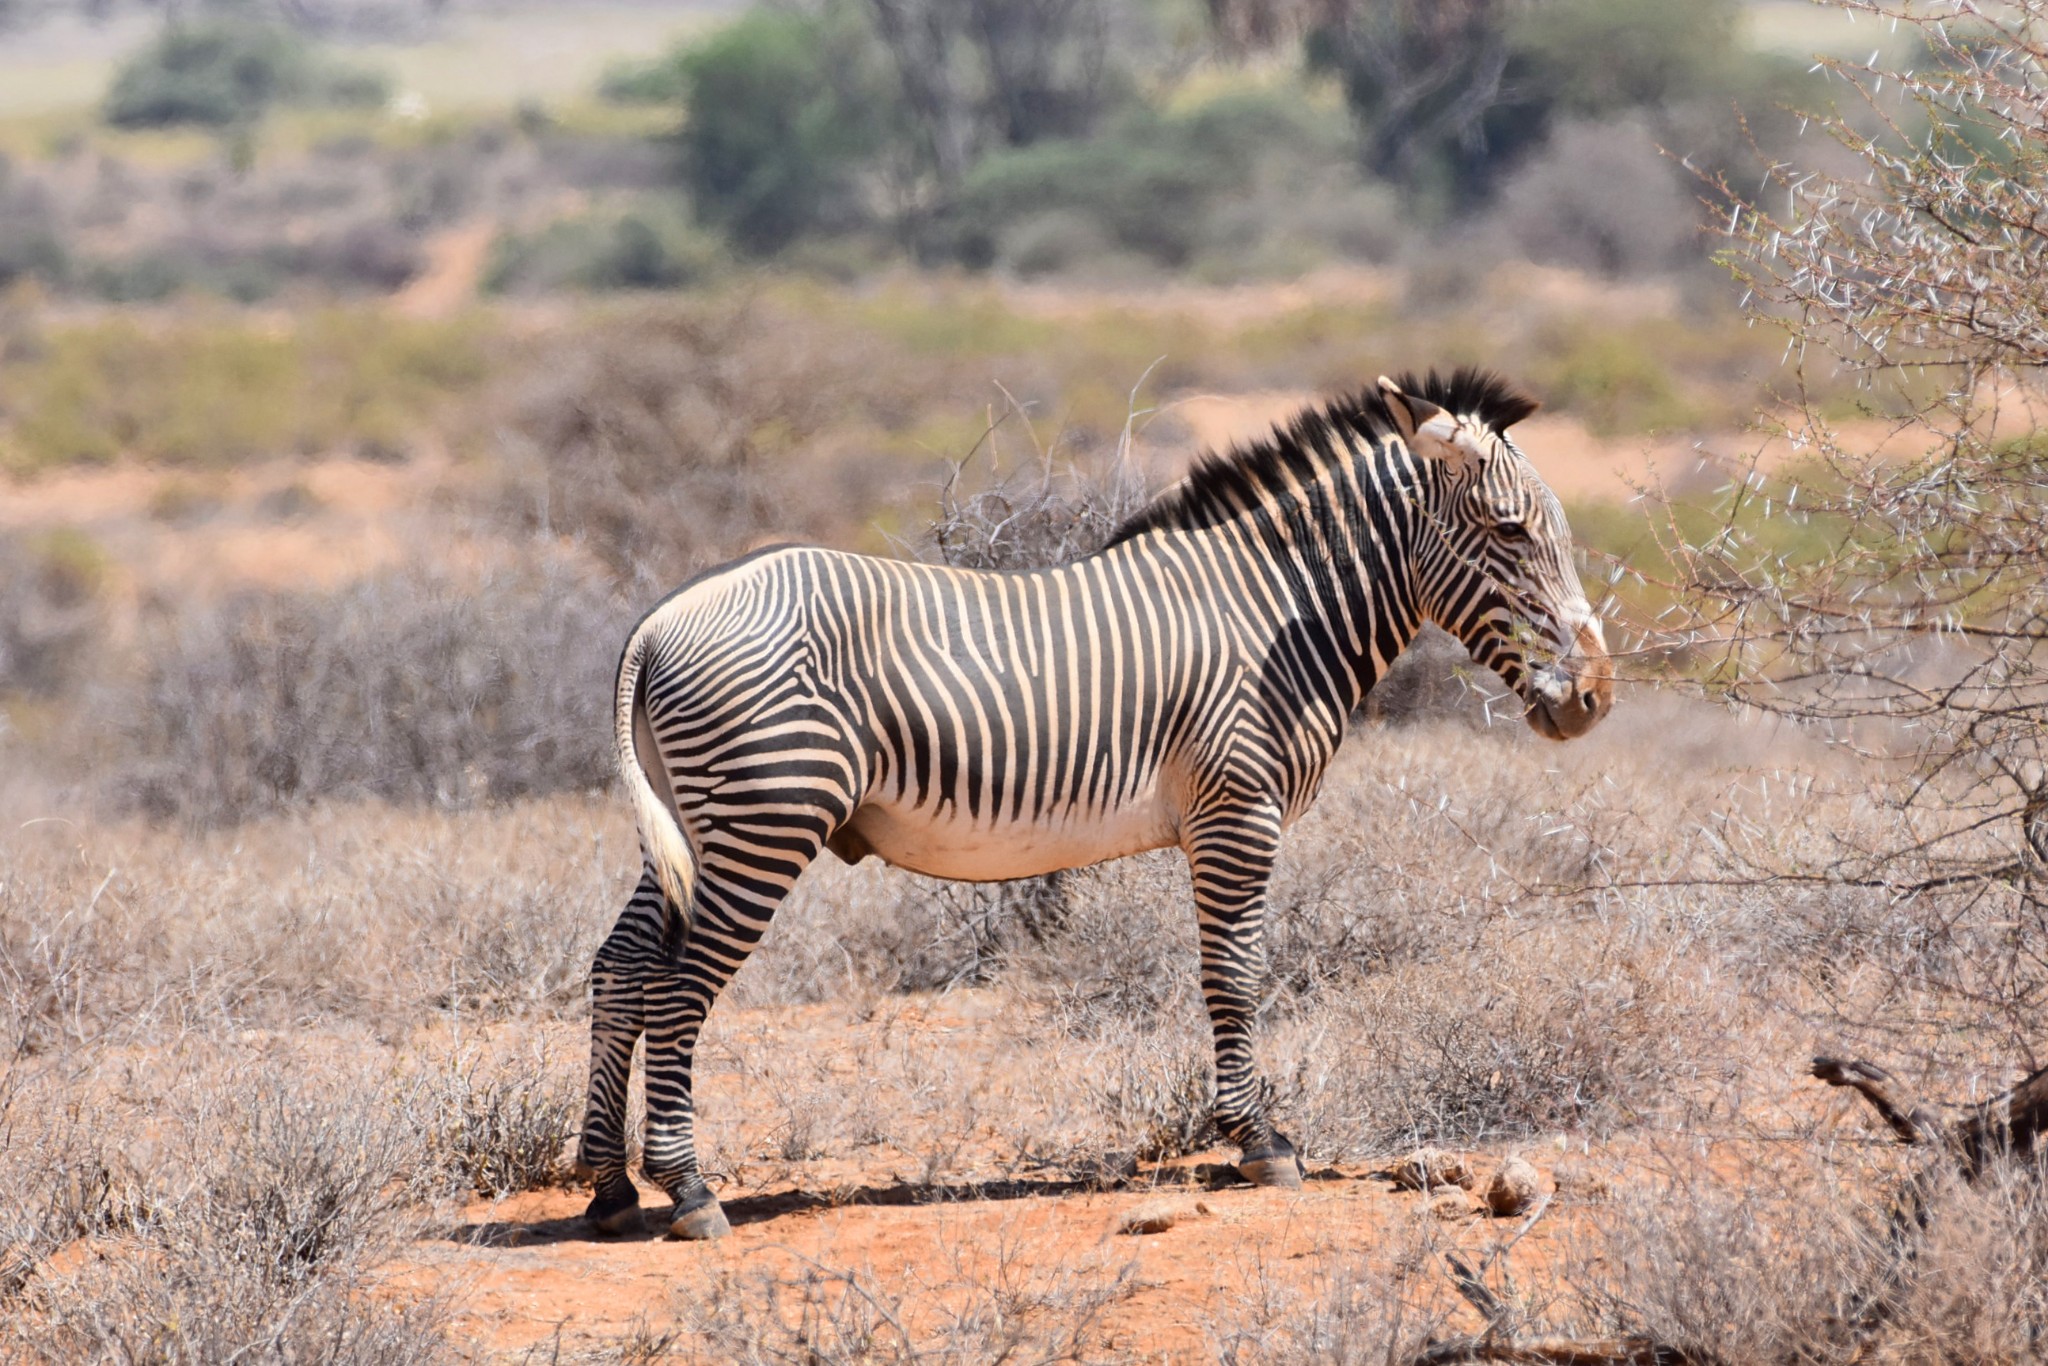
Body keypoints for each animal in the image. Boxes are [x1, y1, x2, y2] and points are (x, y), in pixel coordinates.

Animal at [569, 368, 1605, 1245]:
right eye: (1511, 532)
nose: (1594, 699)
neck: (1276, 612)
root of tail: (659, 622)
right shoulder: (1238, 809)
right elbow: (1236, 972)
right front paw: (1261, 1141)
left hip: (694, 828)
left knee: (620, 969)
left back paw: (610, 1190)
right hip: (765, 820)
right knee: (676, 987)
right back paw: (689, 1191)